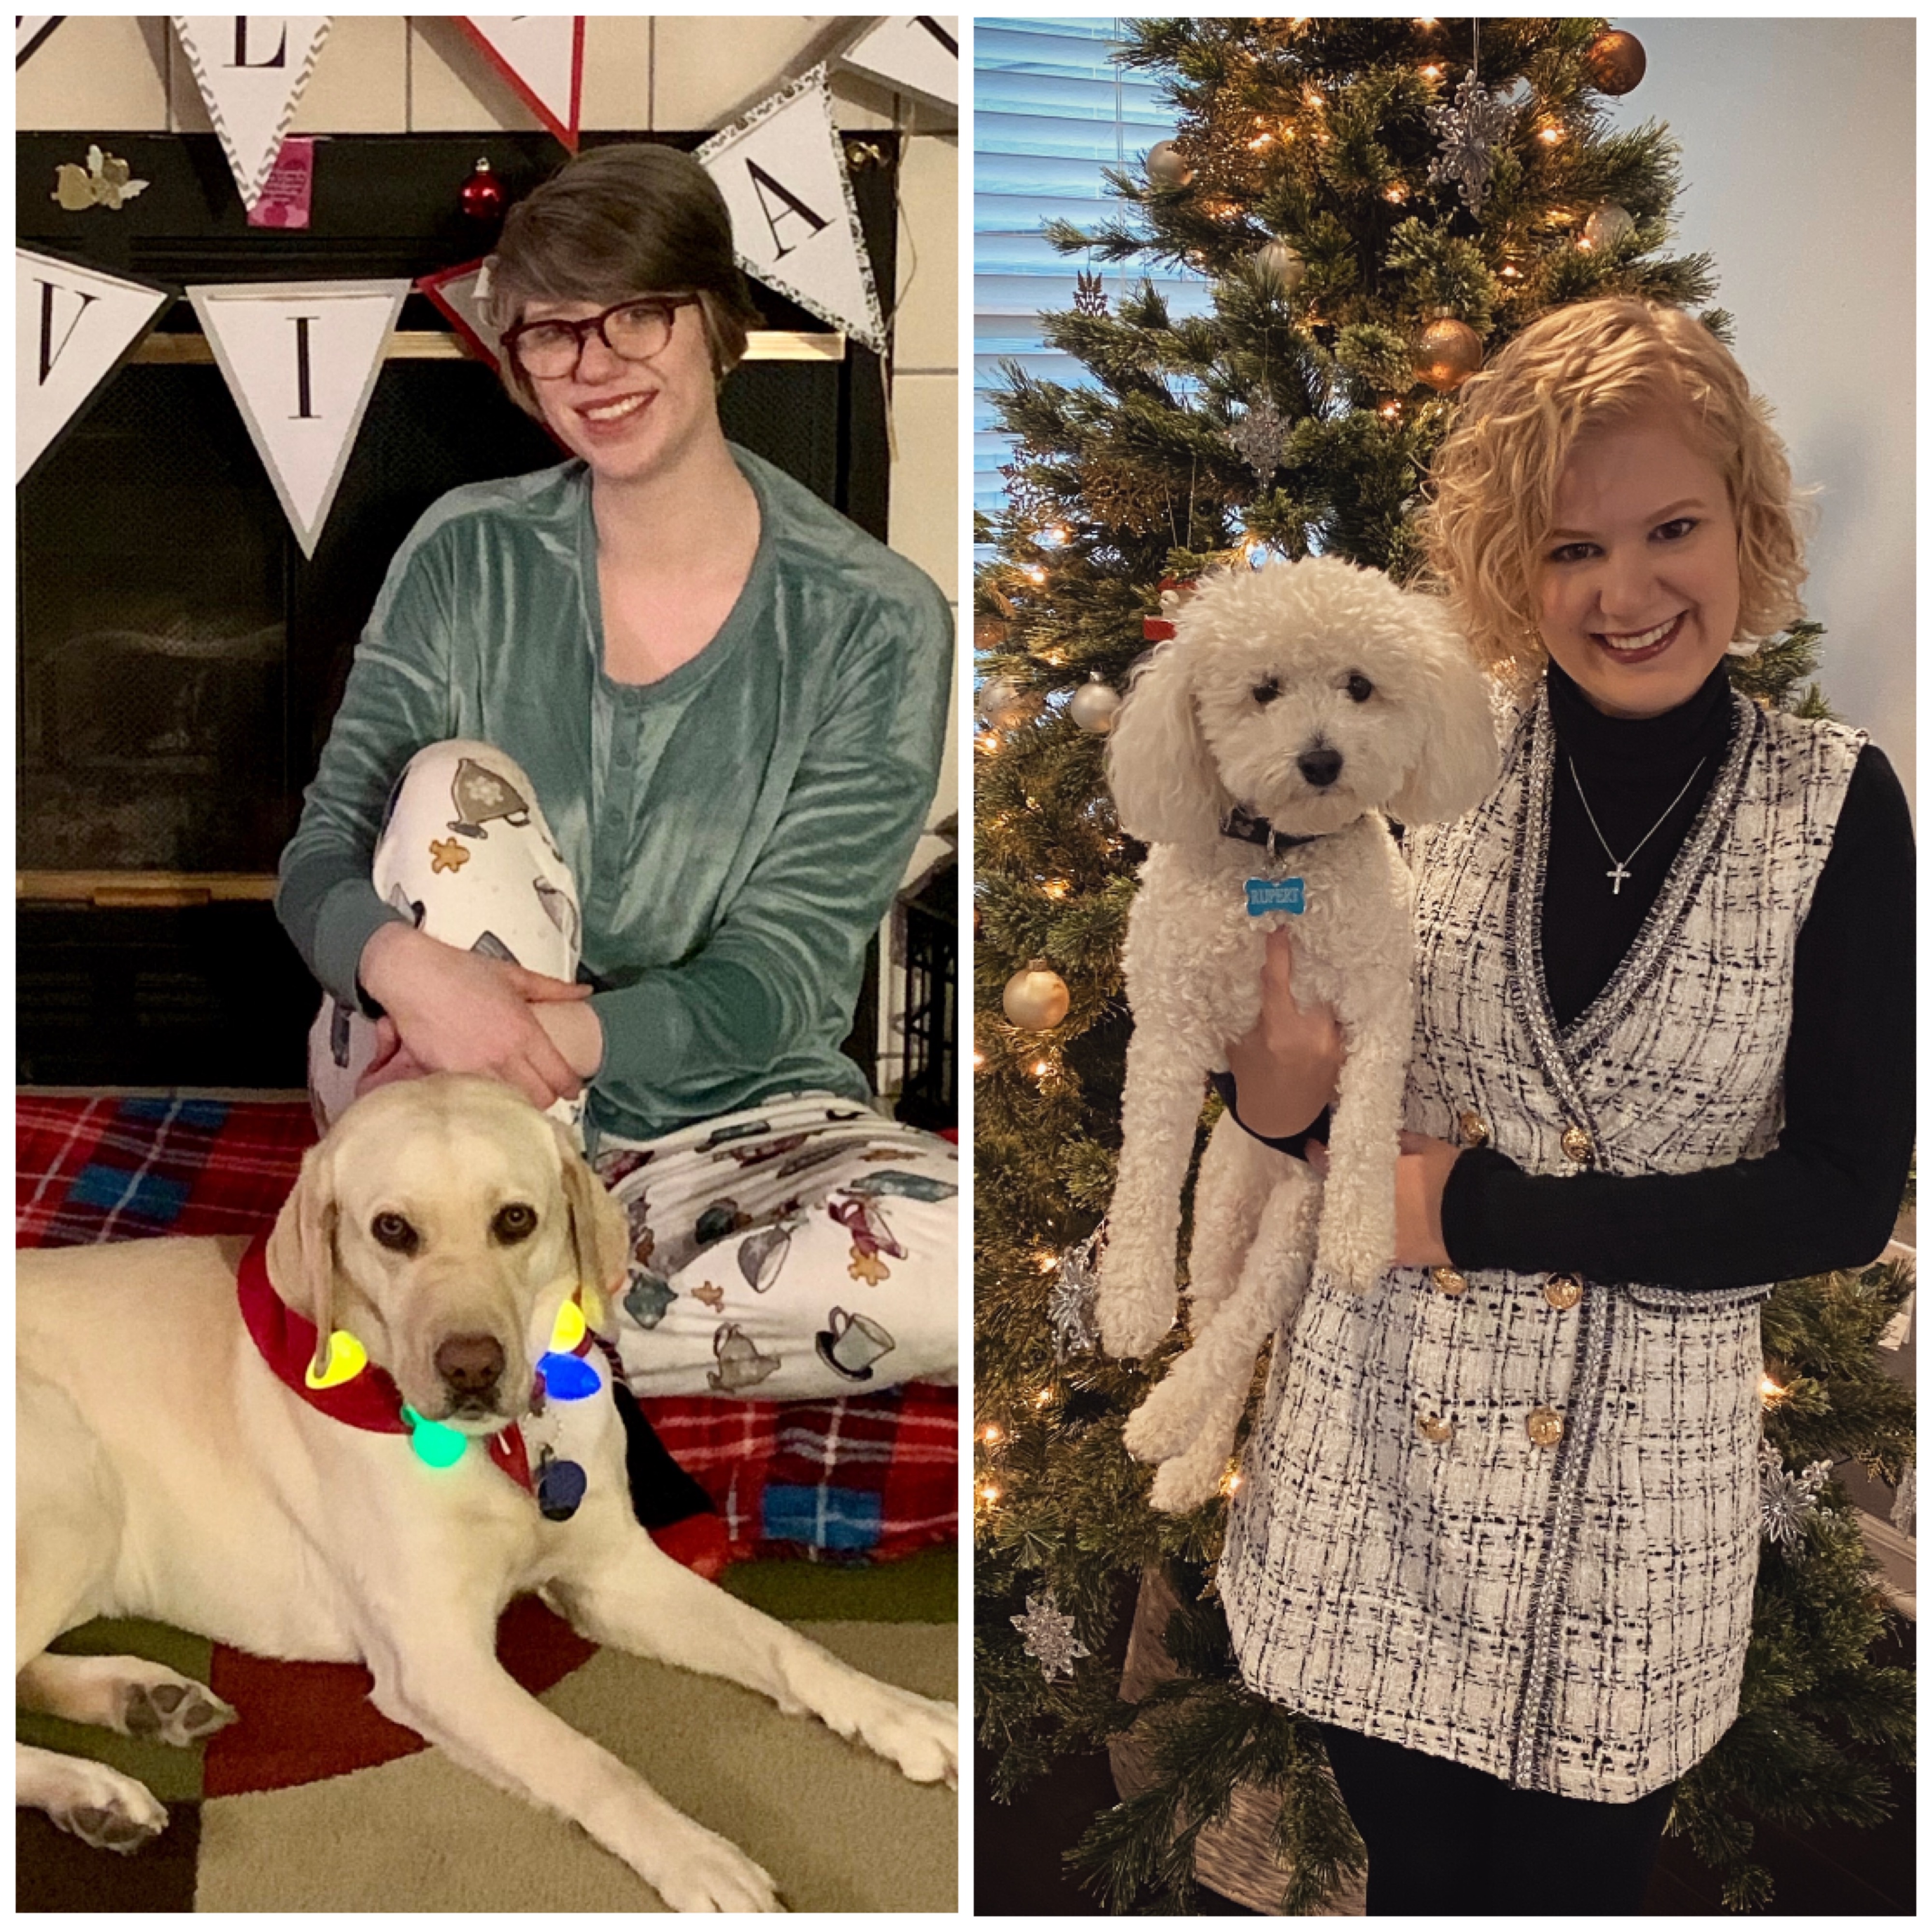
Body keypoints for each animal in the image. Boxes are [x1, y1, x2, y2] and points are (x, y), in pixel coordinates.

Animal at [1105, 553, 1492, 1515]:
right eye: (1264, 690)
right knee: (1217, 1316)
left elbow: (1362, 1132)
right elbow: (1146, 1169)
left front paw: (1362, 1237)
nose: (1321, 760)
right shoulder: (1168, 1027)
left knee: (1243, 1328)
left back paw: (1167, 1432)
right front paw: (1127, 1301)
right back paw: (1181, 1452)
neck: (1283, 862)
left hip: (1289, 1219)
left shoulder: (1378, 1012)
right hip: (1220, 1209)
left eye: (1359, 686)